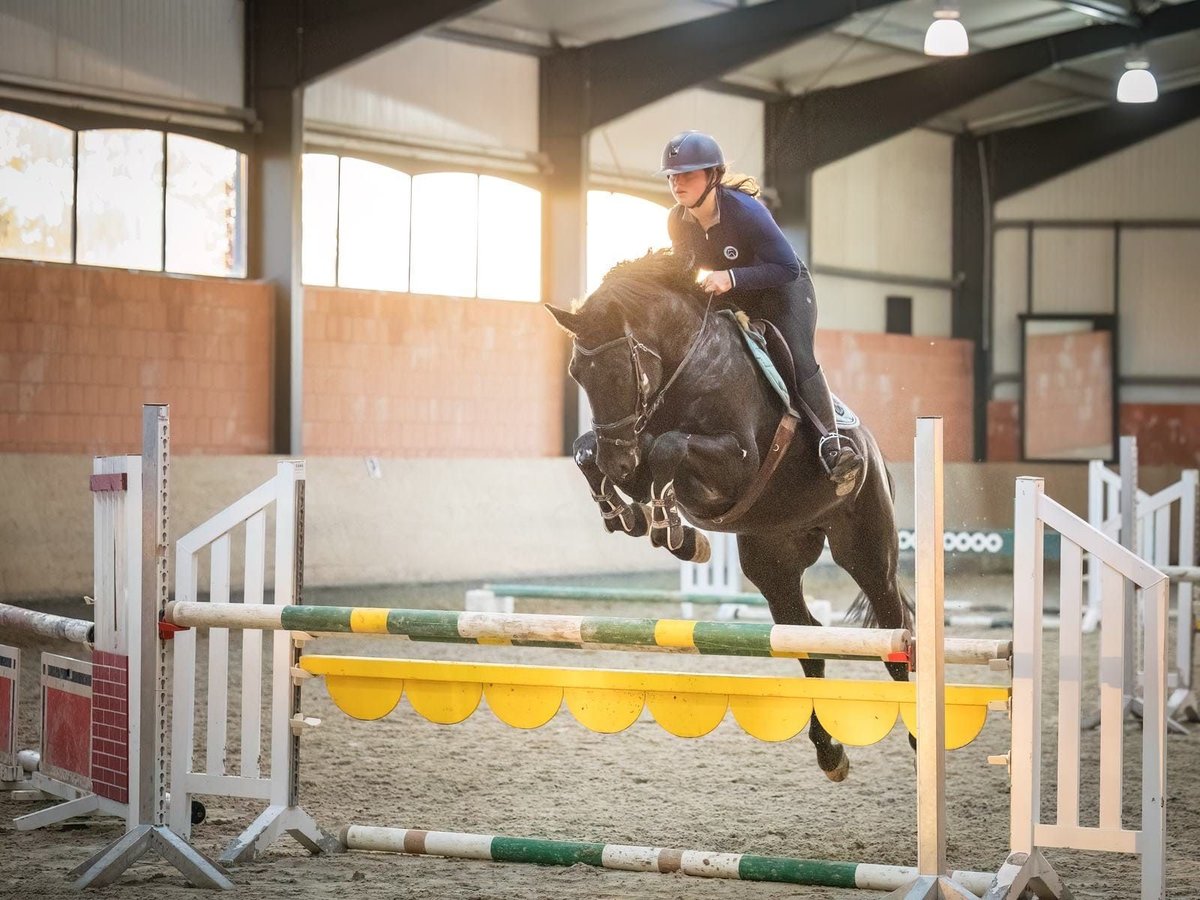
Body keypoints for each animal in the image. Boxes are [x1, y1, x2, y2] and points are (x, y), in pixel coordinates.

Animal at [549, 252, 912, 782]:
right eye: (577, 372)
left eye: (619, 370)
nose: (620, 464)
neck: (685, 364)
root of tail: (873, 453)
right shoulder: (641, 452)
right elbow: (588, 451)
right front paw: (635, 518)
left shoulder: (736, 463)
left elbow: (667, 447)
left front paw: (669, 529)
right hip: (773, 565)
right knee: (808, 642)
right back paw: (830, 754)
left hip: (867, 552)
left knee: (894, 637)